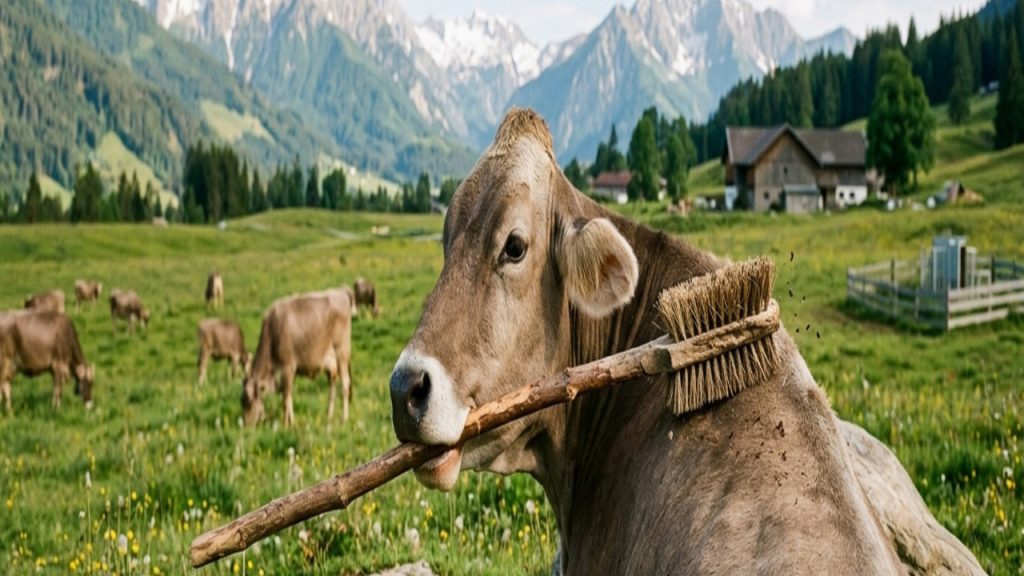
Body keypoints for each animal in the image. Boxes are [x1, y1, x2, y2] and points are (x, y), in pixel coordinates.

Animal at [242, 287, 354, 427]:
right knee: (332, 387)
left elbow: (285, 399)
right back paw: (329, 416)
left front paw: (286, 424)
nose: (246, 425)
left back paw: (344, 418)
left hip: (342, 354)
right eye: (241, 401)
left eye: (249, 401)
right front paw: (291, 422)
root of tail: (341, 291)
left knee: (345, 384)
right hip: (331, 364)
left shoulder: (287, 367)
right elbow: (288, 396)